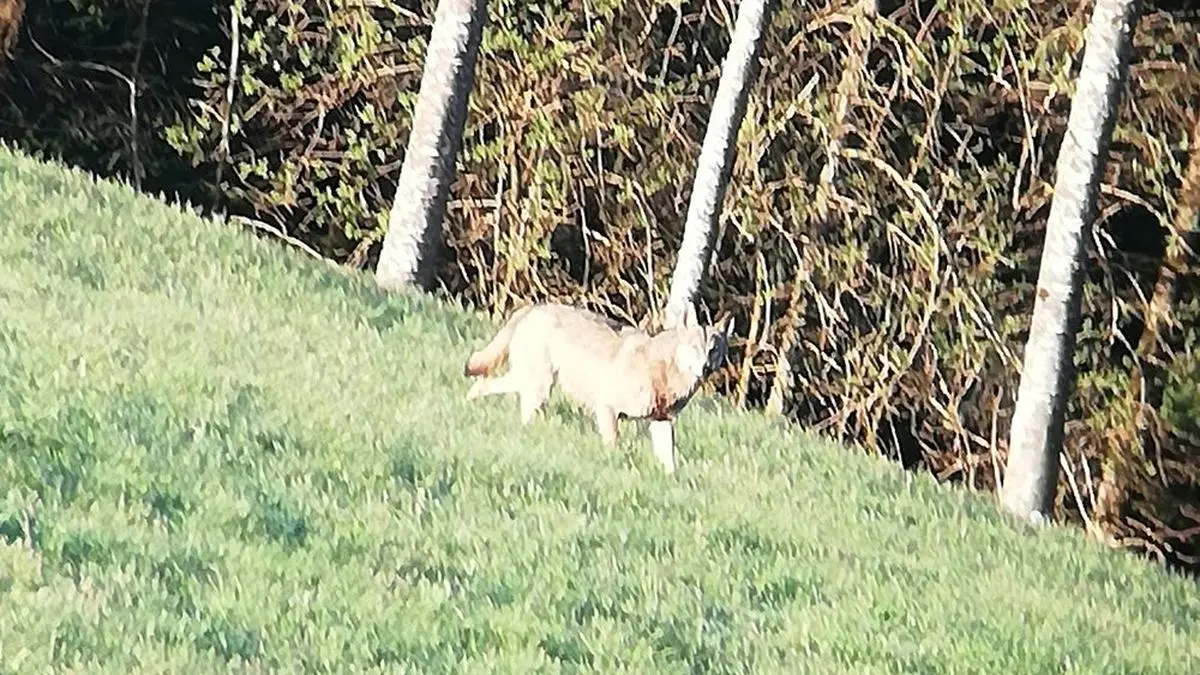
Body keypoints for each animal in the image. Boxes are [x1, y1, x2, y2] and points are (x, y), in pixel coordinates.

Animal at [462, 301, 733, 472]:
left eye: (713, 350)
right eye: (695, 348)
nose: (704, 369)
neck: (663, 371)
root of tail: (535, 307)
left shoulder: (661, 421)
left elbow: (669, 462)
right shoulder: (607, 409)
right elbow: (613, 447)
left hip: (532, 383)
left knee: (488, 384)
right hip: (540, 387)